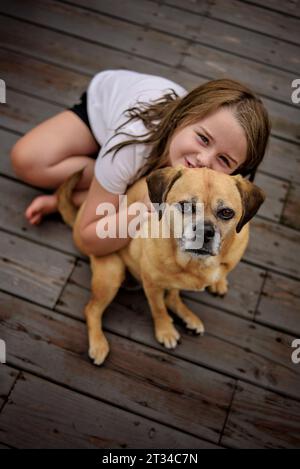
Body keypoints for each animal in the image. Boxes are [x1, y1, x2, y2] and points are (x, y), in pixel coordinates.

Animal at [56, 165, 264, 366]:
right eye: (185, 206)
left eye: (226, 213)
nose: (204, 232)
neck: (194, 263)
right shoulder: (152, 284)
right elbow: (158, 309)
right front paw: (165, 330)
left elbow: (169, 299)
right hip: (111, 275)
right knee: (91, 310)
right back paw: (98, 344)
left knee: (172, 297)